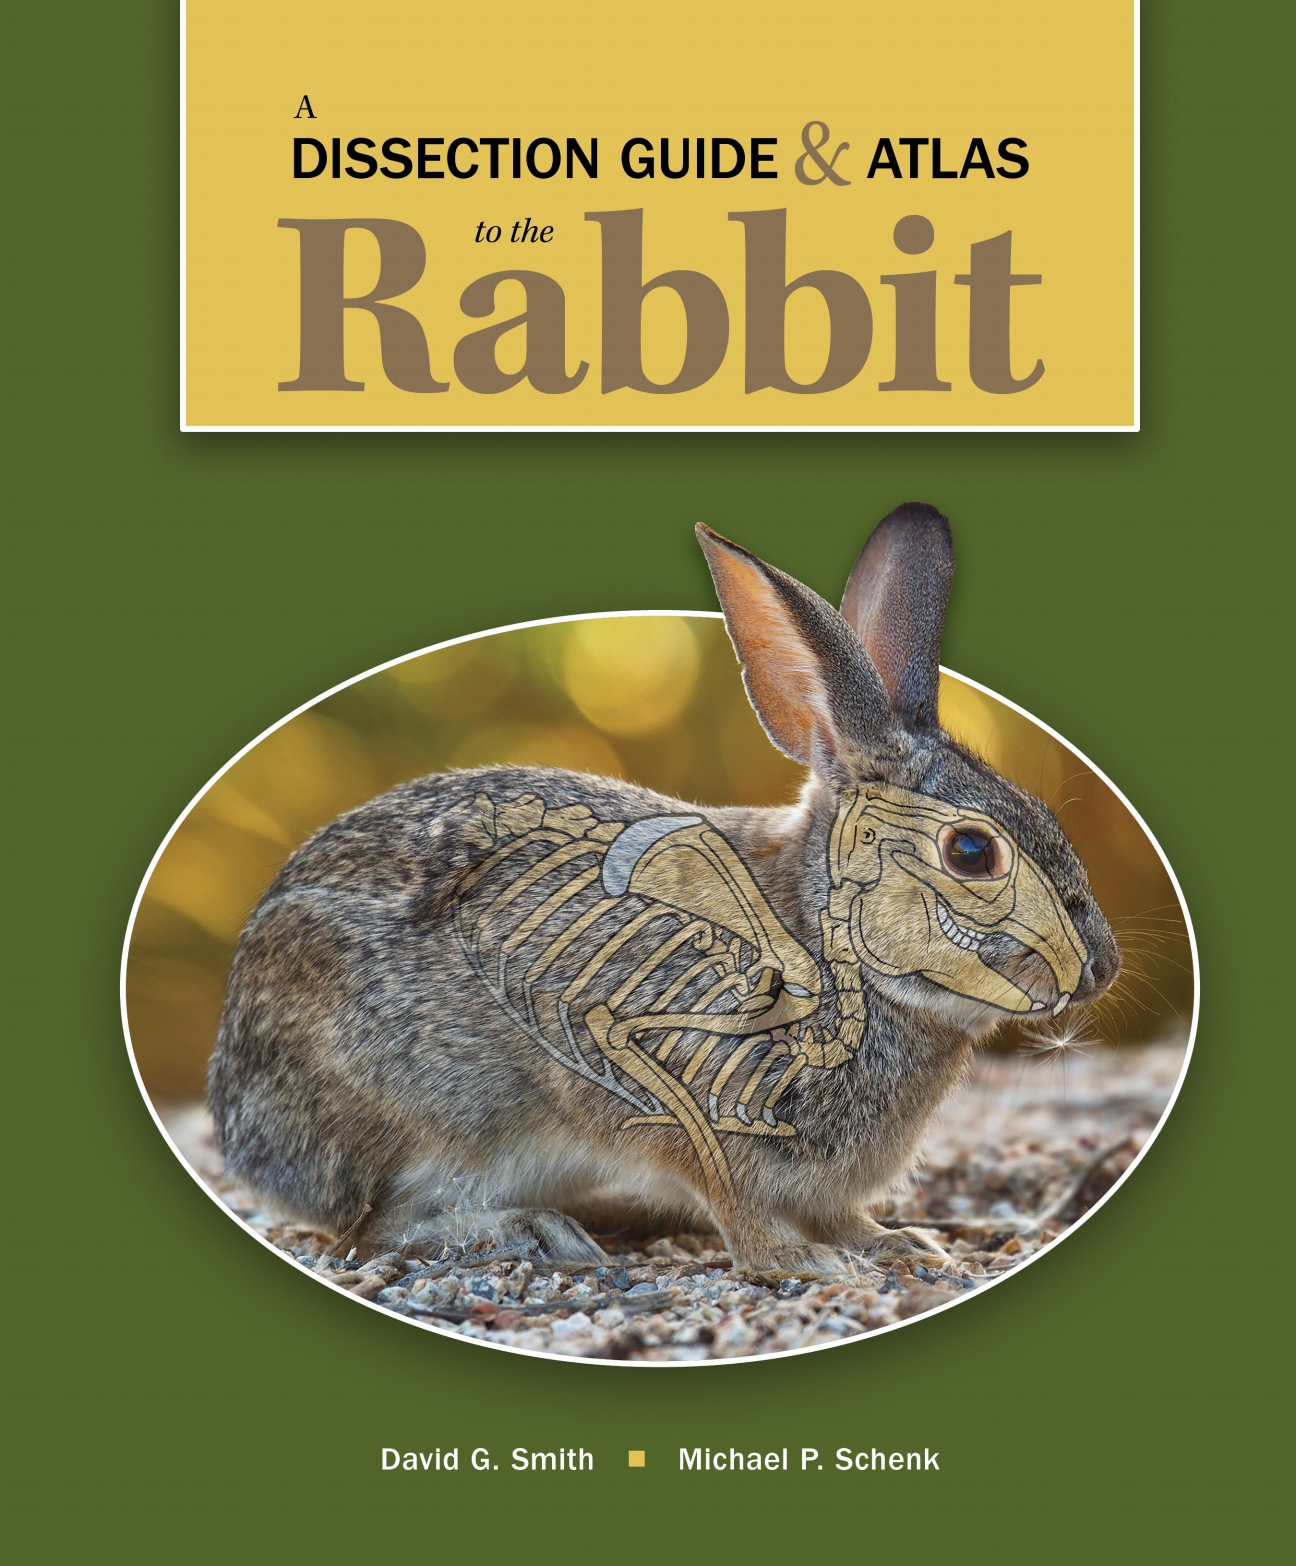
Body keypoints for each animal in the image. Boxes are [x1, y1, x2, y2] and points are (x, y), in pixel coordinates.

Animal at [207, 503, 1119, 1280]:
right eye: (972, 853)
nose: (1099, 969)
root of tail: (238, 1117)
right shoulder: (670, 1090)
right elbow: (730, 1197)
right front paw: (800, 1262)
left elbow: (841, 1214)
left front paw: (897, 1243)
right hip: (431, 1116)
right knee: (372, 1227)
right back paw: (529, 1231)